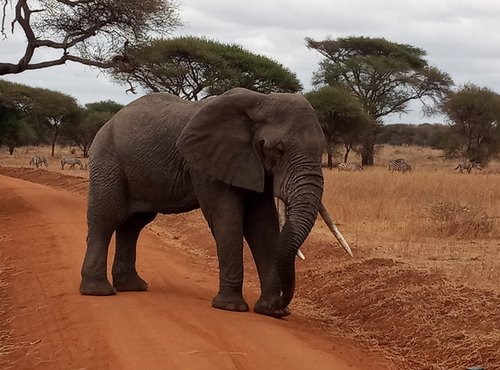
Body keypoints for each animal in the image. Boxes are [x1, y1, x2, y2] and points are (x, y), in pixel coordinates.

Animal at [80, 87, 350, 318]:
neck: (261, 101)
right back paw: (99, 292)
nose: (281, 305)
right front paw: (231, 307)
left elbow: (262, 226)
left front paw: (270, 311)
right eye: (279, 150)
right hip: (108, 161)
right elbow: (227, 219)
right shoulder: (207, 164)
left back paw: (132, 286)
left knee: (133, 226)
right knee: (105, 220)